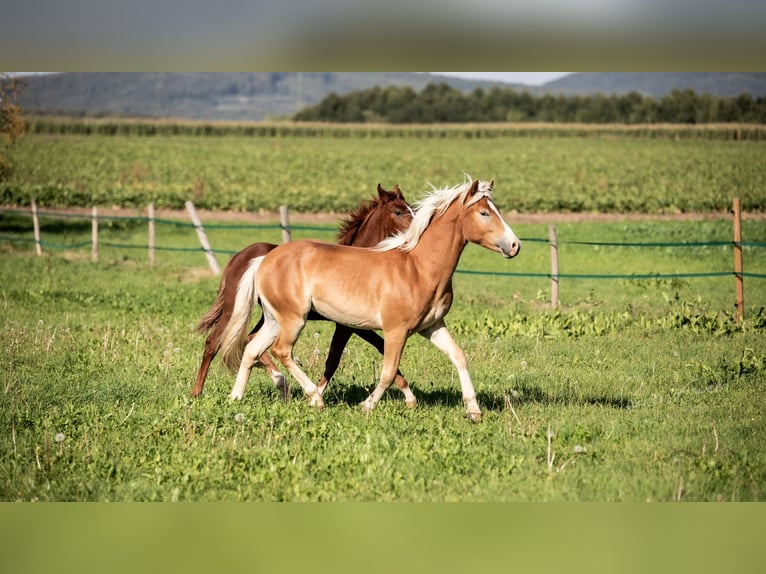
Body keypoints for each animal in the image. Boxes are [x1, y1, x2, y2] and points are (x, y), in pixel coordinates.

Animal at [195, 182, 416, 408]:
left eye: (411, 208)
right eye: (398, 212)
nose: (416, 231)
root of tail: (239, 256)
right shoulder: (349, 325)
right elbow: (341, 357)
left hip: (270, 315)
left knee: (250, 338)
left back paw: (280, 383)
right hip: (233, 308)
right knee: (213, 342)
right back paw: (197, 392)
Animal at [219, 180, 524, 424]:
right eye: (484, 213)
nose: (515, 246)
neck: (418, 267)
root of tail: (264, 259)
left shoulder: (432, 326)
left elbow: (459, 356)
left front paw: (473, 410)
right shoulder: (395, 330)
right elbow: (387, 371)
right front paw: (368, 405)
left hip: (274, 319)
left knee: (251, 349)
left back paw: (236, 398)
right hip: (293, 319)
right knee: (282, 351)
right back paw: (315, 397)